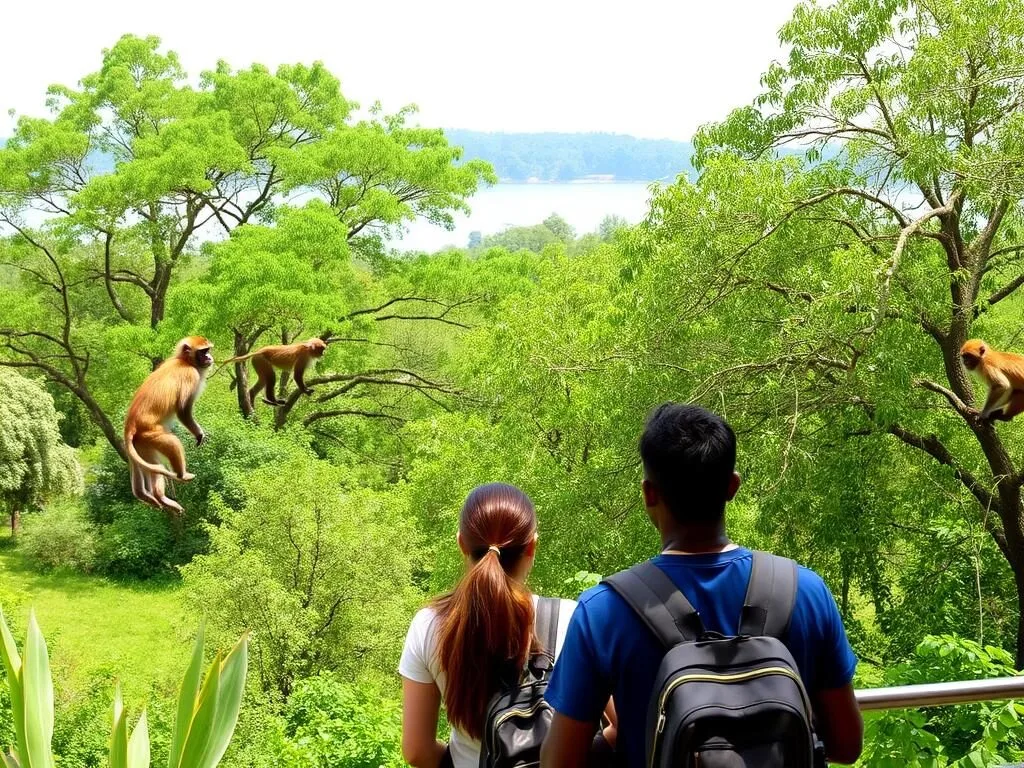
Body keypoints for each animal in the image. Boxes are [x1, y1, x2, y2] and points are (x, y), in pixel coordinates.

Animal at [123, 336, 213, 512]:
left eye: (208, 350)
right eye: (203, 351)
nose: (209, 357)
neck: (184, 361)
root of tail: (130, 424)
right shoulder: (191, 375)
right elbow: (183, 411)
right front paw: (199, 434)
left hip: (141, 443)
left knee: (153, 465)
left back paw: (158, 497)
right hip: (150, 433)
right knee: (172, 443)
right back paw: (181, 475)